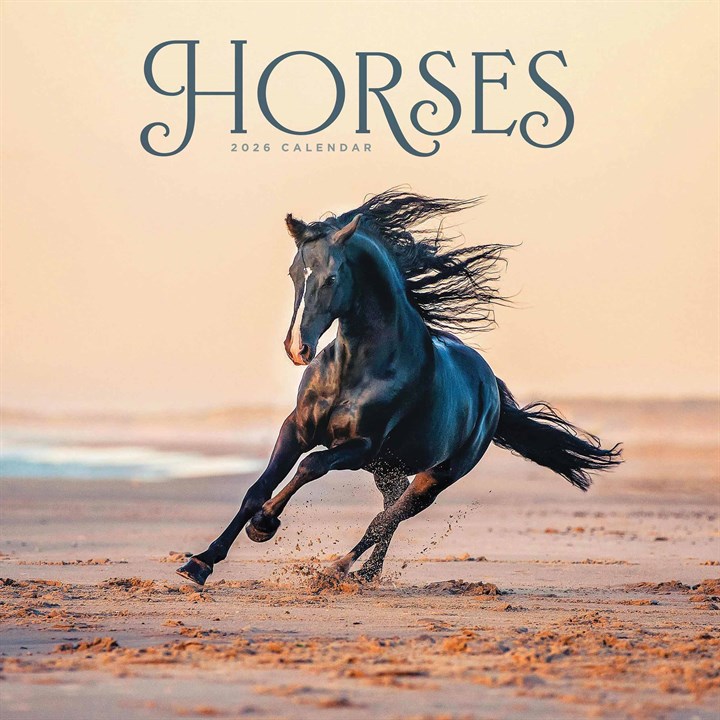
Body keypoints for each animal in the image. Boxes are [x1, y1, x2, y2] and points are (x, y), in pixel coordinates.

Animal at [177, 190, 622, 586]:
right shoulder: (297, 428)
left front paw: (265, 523)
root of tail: (490, 387)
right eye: (293, 273)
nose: (297, 348)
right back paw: (367, 575)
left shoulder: (360, 445)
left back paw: (336, 571)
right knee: (390, 510)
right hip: (388, 469)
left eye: (331, 277)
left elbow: (311, 466)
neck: (356, 369)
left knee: (388, 516)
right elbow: (257, 488)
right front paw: (201, 562)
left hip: (436, 476)